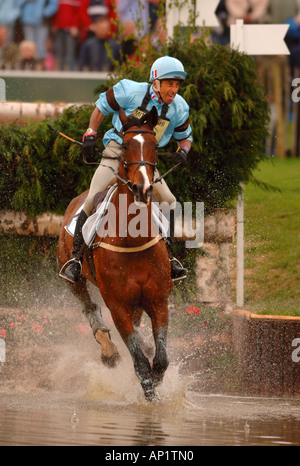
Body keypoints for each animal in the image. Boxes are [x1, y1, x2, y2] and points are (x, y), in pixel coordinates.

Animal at [57, 106, 172, 400]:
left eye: (155, 146)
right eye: (126, 146)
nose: (143, 189)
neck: (132, 240)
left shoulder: (159, 301)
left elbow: (161, 359)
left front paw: (157, 374)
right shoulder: (118, 305)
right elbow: (140, 362)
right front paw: (149, 392)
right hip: (73, 278)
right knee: (89, 306)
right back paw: (108, 350)